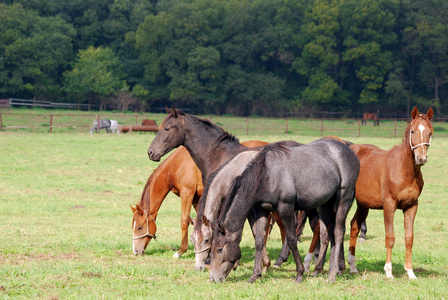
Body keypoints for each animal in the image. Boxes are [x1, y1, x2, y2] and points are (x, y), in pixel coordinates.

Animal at [209, 139, 360, 282]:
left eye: (219, 249)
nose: (213, 278)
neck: (267, 175)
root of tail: (350, 152)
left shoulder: (286, 208)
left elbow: (292, 240)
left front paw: (299, 273)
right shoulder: (261, 210)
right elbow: (259, 241)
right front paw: (255, 275)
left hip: (343, 198)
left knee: (338, 231)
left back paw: (332, 274)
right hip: (325, 204)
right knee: (329, 233)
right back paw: (327, 269)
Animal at [346, 107, 434, 278]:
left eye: (430, 132)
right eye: (413, 131)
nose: (421, 158)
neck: (404, 170)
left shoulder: (412, 206)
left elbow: (409, 238)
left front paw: (410, 272)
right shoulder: (389, 205)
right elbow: (390, 237)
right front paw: (388, 271)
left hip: (363, 205)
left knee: (354, 227)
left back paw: (353, 266)